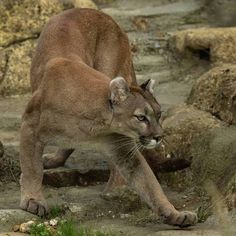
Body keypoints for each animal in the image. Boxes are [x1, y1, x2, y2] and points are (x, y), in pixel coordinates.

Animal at [19, 8, 197, 228]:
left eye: (159, 114)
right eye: (141, 117)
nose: (159, 136)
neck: (95, 125)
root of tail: (95, 11)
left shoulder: (122, 147)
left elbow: (150, 183)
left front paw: (175, 214)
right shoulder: (30, 126)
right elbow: (32, 167)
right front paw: (33, 200)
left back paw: (114, 191)